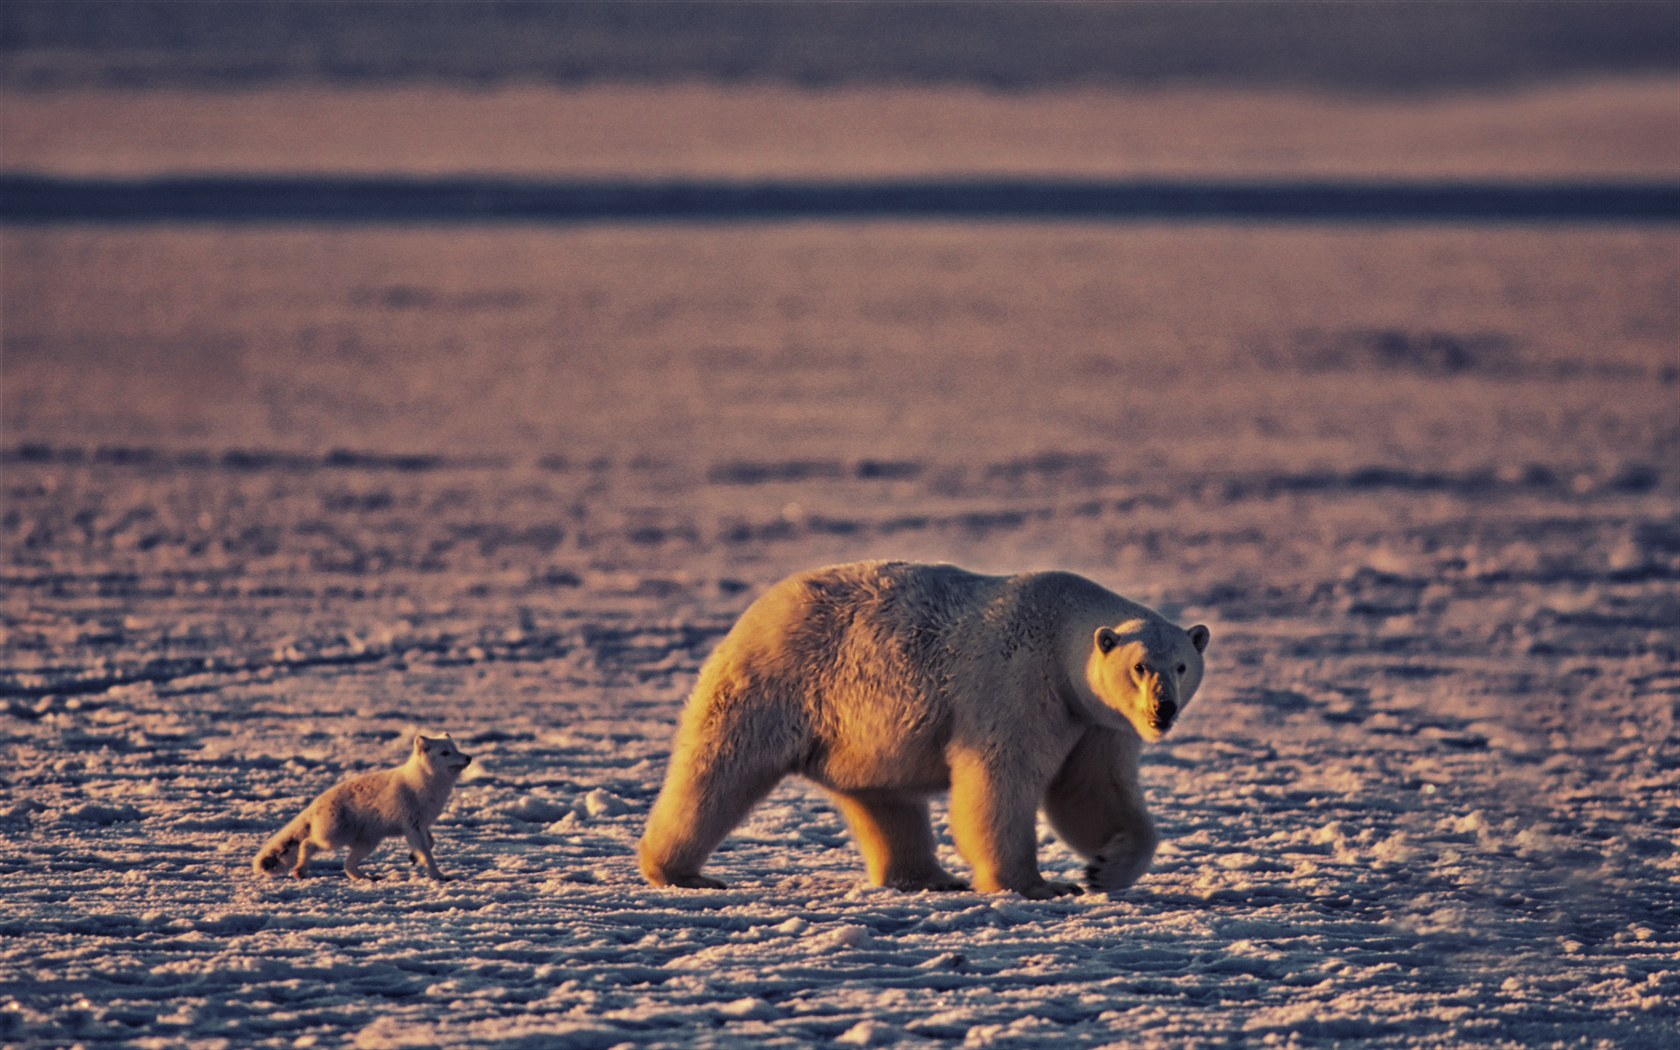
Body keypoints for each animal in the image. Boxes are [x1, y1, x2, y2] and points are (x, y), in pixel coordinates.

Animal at [250, 732, 473, 880]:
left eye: (456, 749)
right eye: (445, 753)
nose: (469, 757)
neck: (423, 784)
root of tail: (316, 803)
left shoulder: (421, 825)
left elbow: (430, 843)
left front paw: (414, 857)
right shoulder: (412, 825)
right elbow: (427, 852)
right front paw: (438, 875)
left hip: (367, 843)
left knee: (347, 865)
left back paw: (365, 878)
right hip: (333, 838)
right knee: (307, 843)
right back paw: (301, 871)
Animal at [638, 561, 1209, 893]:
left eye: (1182, 665)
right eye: (1140, 667)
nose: (1163, 709)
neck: (1061, 626)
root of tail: (758, 608)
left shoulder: (1095, 720)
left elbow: (1091, 791)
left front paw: (1104, 866)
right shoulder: (1019, 683)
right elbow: (1001, 778)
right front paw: (1034, 884)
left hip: (858, 734)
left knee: (884, 800)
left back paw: (928, 877)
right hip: (779, 684)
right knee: (719, 771)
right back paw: (681, 871)